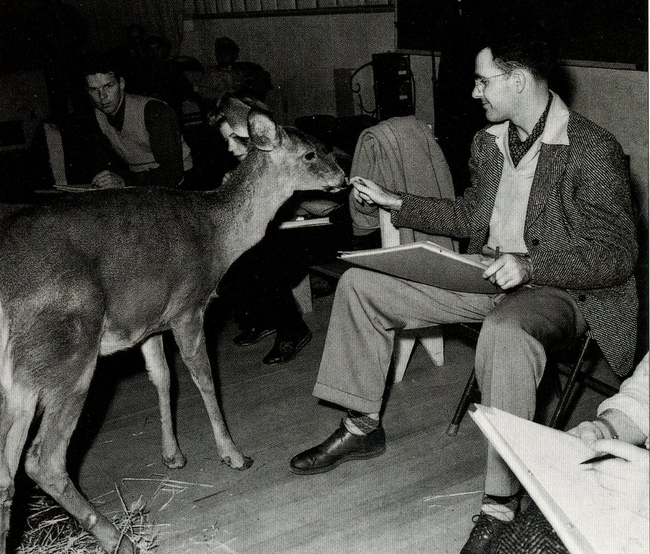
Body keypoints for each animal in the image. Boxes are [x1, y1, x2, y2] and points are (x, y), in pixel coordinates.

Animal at [0, 110, 350, 548]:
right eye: (310, 153)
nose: (343, 177)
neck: (217, 235)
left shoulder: (149, 324)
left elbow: (163, 378)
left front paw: (173, 456)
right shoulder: (188, 307)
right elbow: (204, 378)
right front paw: (233, 455)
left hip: (21, 381)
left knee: (6, 472)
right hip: (68, 355)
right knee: (42, 460)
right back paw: (120, 540)